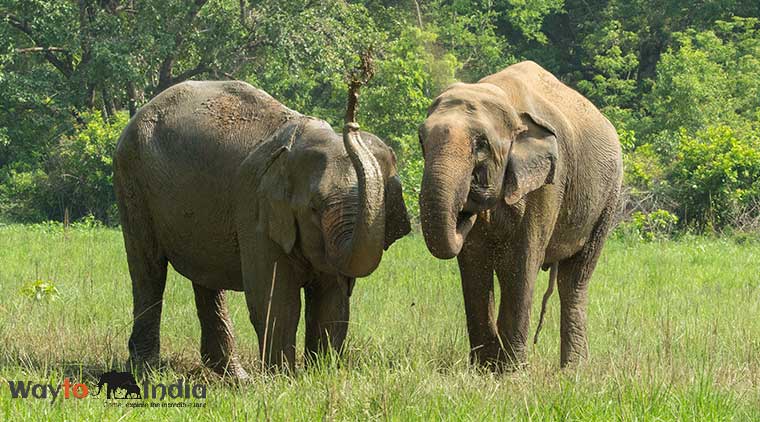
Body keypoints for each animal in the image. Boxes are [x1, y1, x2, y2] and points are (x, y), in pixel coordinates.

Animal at [114, 80, 411, 375]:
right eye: (314, 208)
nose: (352, 114)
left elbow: (331, 302)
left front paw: (321, 374)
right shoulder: (255, 207)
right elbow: (276, 299)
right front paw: (284, 379)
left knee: (205, 278)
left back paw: (234, 377)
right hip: (132, 180)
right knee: (148, 270)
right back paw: (145, 370)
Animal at [418, 61, 622, 369]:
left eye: (481, 145)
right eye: (421, 140)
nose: (467, 210)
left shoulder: (549, 183)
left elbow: (520, 263)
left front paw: (511, 372)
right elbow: (474, 264)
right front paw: (484, 369)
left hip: (608, 199)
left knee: (575, 279)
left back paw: (572, 371)